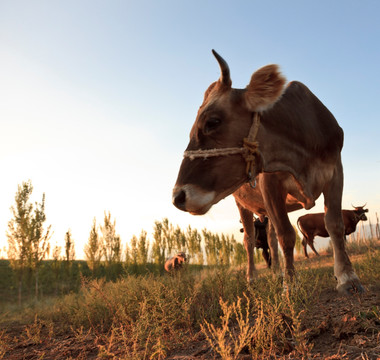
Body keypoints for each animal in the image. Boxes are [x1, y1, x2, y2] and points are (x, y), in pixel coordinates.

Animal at [171, 49, 362, 294]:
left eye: (212, 122)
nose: (178, 197)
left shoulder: (335, 171)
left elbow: (334, 225)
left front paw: (347, 278)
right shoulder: (270, 184)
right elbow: (286, 234)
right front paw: (290, 285)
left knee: (269, 238)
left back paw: (276, 273)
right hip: (241, 203)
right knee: (250, 240)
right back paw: (253, 278)